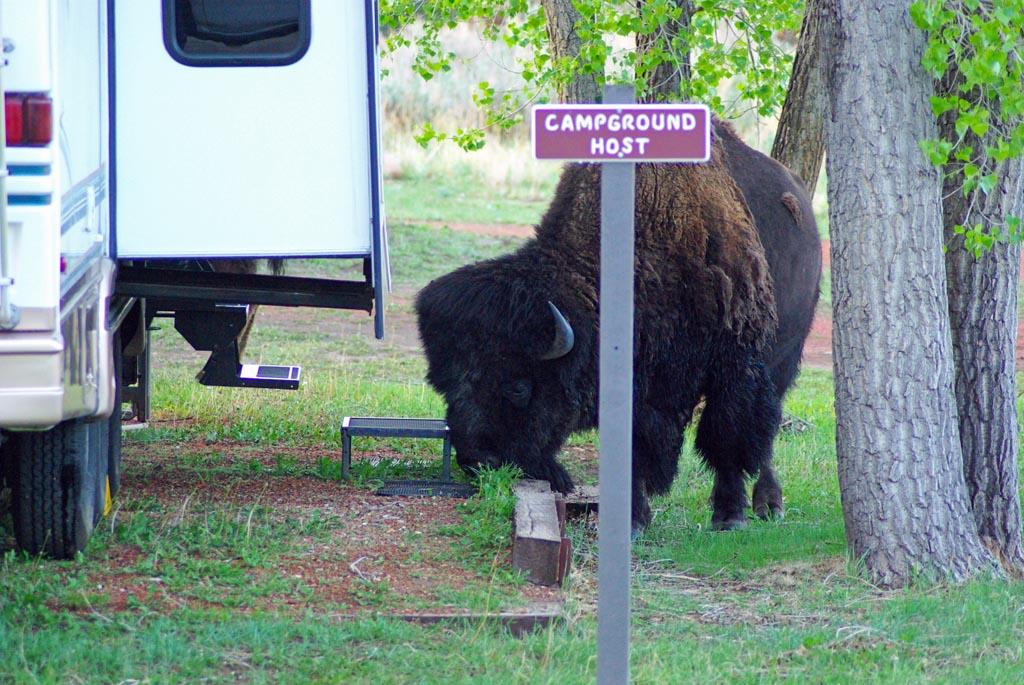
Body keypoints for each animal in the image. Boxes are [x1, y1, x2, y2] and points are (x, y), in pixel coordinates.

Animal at [411, 120, 819, 532]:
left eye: (518, 387)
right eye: (442, 383)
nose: (477, 460)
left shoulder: (733, 365)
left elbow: (726, 437)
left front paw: (729, 516)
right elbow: (634, 449)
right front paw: (634, 518)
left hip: (784, 357)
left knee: (765, 429)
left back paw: (769, 505)